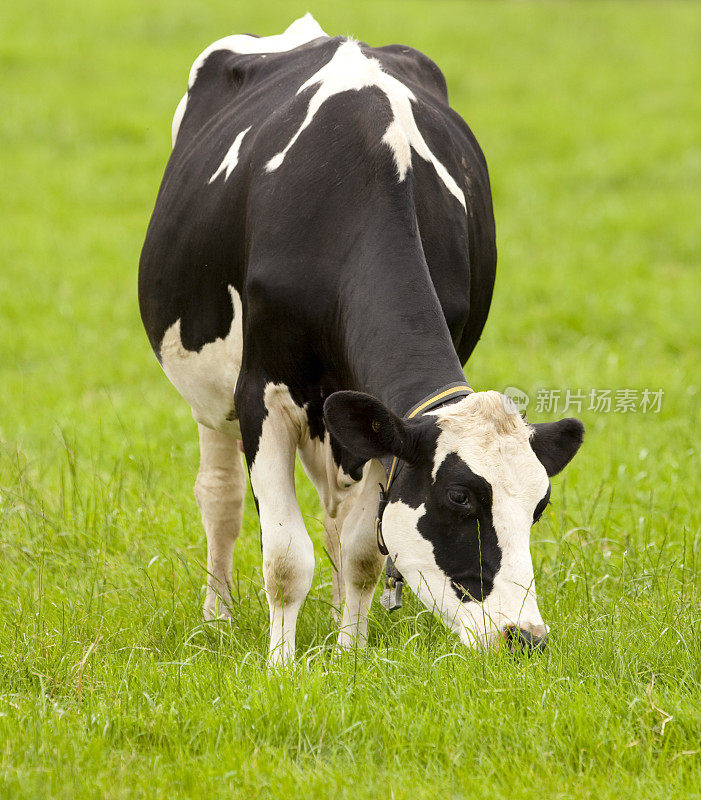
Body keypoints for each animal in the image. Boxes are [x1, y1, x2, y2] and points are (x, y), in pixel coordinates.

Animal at [139, 17, 584, 668]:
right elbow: (284, 558)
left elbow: (363, 552)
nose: (524, 637)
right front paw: (281, 665)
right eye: (460, 498)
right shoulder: (261, 395)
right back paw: (217, 617)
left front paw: (350, 651)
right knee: (220, 500)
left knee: (337, 518)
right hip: (210, 399)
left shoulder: (385, 430)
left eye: (539, 506)